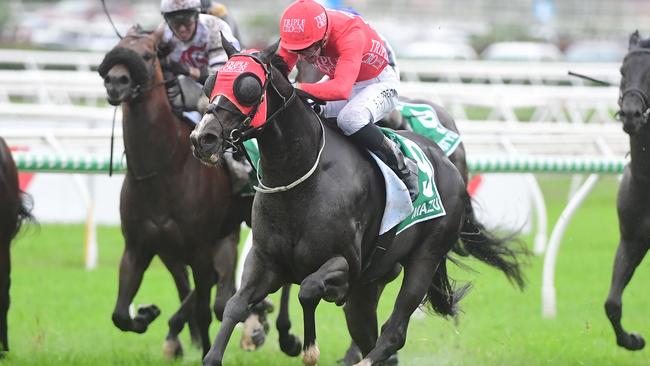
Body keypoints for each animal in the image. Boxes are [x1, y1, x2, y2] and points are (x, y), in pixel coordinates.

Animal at [98, 25, 256, 358]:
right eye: (117, 47)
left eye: (147, 54)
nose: (116, 81)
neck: (162, 171)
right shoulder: (138, 247)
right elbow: (120, 314)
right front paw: (146, 314)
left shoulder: (199, 248)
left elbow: (205, 308)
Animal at [190, 40, 524, 366]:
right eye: (211, 81)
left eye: (247, 86)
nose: (202, 138)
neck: (301, 175)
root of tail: (447, 161)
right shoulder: (266, 261)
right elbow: (235, 306)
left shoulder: (347, 267)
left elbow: (308, 289)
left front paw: (308, 348)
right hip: (370, 286)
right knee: (369, 335)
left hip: (425, 257)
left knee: (392, 334)